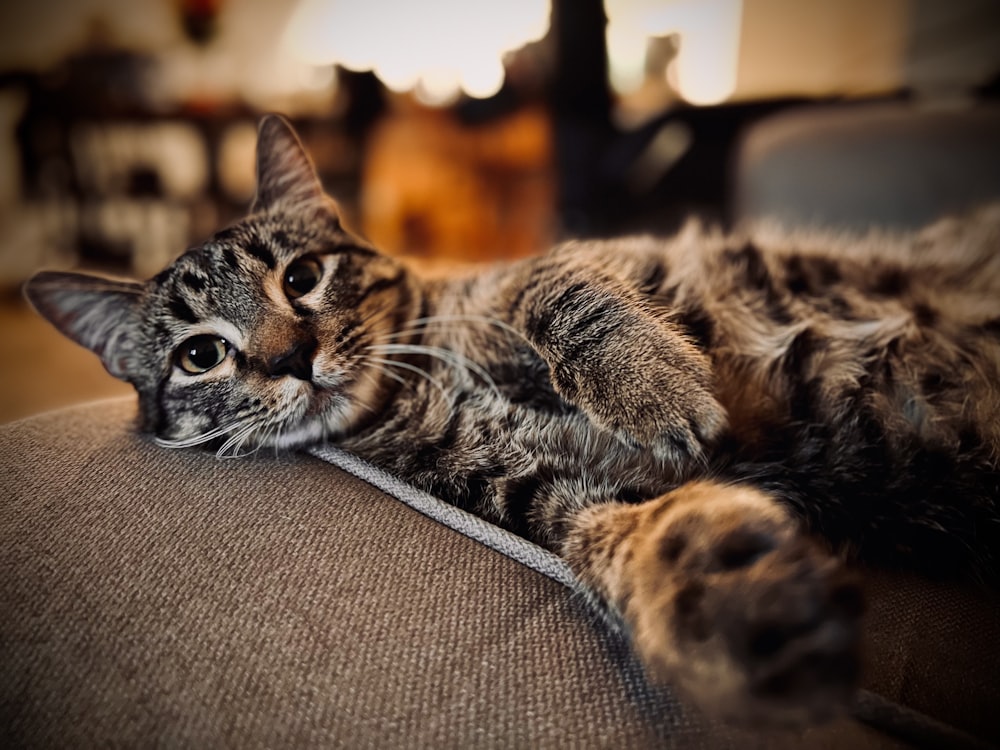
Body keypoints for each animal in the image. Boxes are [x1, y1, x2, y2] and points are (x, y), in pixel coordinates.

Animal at [23, 116, 1000, 728]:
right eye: (200, 355)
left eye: (301, 277)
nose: (293, 357)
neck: (421, 386)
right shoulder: (534, 486)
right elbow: (600, 536)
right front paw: (714, 593)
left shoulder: (555, 266)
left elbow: (554, 291)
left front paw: (653, 383)